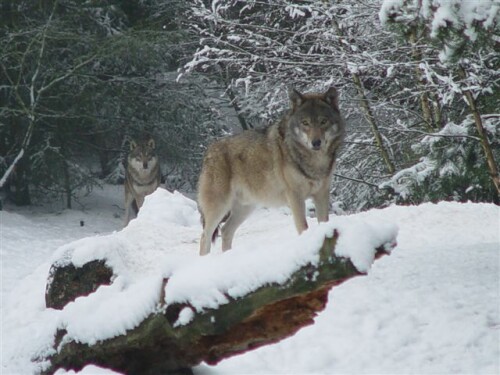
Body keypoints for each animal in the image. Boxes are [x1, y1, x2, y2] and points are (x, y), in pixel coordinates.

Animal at [197, 86, 346, 256]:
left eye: (323, 121)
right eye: (305, 123)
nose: (316, 142)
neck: (314, 161)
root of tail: (209, 150)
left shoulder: (321, 194)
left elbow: (324, 222)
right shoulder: (295, 197)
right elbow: (303, 227)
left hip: (245, 207)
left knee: (226, 231)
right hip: (219, 207)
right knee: (205, 236)